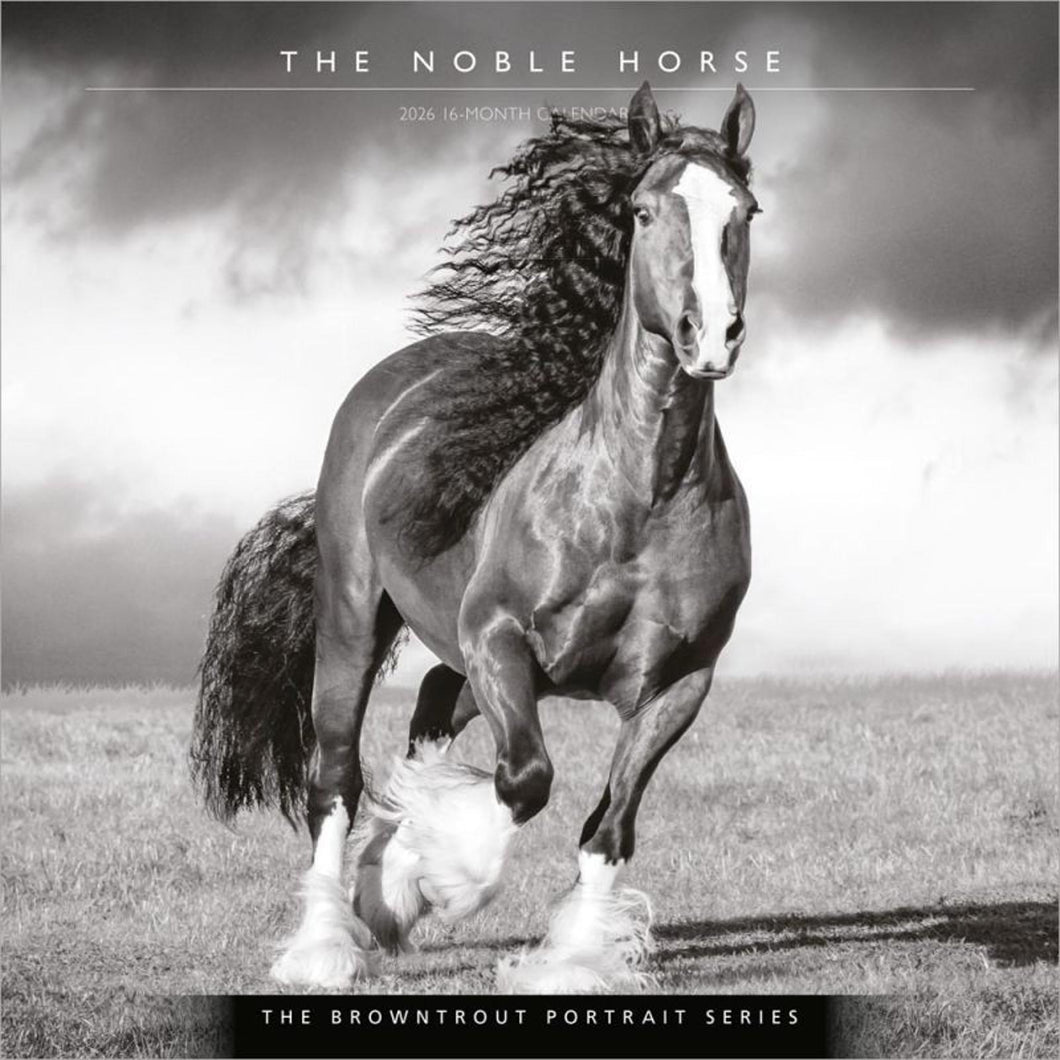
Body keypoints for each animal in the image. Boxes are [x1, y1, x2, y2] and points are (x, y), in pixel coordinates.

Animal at [191, 80, 759, 993]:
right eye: (641, 212)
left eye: (746, 210)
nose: (709, 334)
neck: (637, 499)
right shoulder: (499, 639)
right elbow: (525, 780)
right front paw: (431, 878)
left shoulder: (680, 683)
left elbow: (610, 825)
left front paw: (571, 958)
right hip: (356, 621)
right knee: (335, 778)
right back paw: (324, 944)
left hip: (456, 649)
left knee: (428, 705)